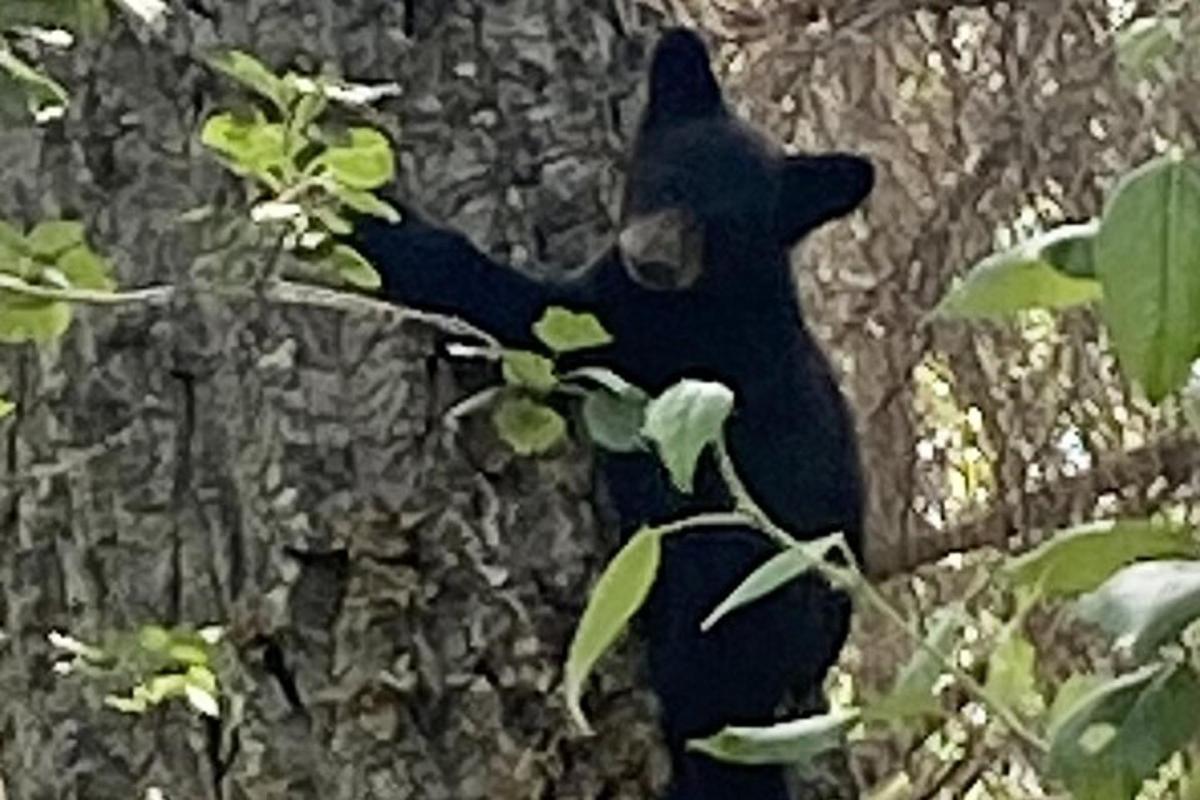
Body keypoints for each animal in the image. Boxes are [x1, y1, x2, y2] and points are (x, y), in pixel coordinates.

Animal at [352, 26, 873, 800]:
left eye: (728, 225)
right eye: (666, 180)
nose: (652, 259)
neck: (711, 293)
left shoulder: (643, 338)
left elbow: (522, 315)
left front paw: (372, 224)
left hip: (724, 601)